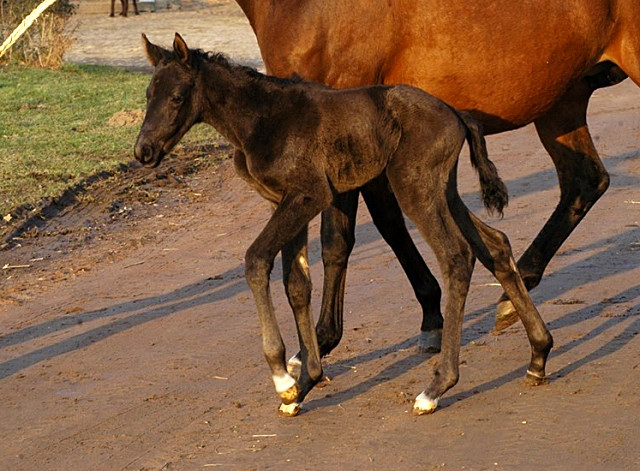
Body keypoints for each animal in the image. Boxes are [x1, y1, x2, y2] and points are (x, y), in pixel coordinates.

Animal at [235, 0, 640, 358]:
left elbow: (338, 240)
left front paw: (319, 342)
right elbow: (389, 225)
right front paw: (431, 318)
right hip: (561, 103)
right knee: (585, 181)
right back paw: (513, 295)